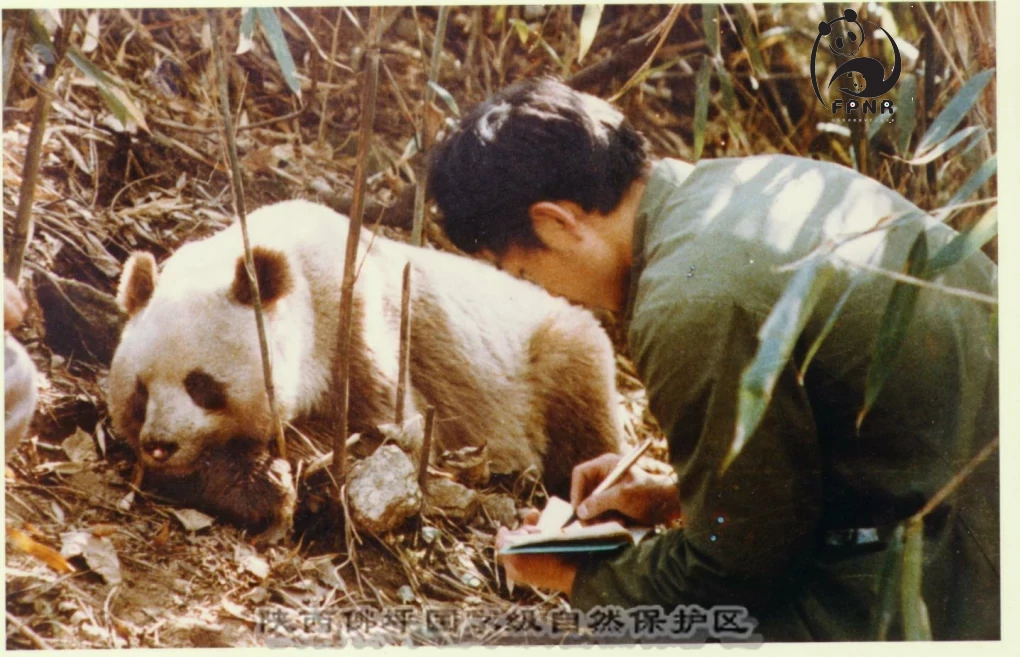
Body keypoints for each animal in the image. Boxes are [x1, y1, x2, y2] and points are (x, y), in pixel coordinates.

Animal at [107, 199, 624, 534]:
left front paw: (275, 478)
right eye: (140, 391)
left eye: (201, 385)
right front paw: (252, 482)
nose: (160, 444)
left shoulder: (356, 319)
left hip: (545, 354)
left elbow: (384, 435)